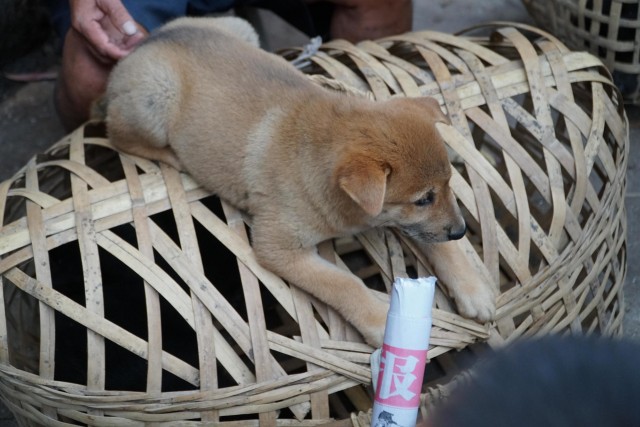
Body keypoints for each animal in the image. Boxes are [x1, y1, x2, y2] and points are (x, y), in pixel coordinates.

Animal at [104, 16, 496, 346]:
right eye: (422, 199)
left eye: (447, 185)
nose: (462, 230)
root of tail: (147, 42)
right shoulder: (278, 247)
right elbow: (344, 283)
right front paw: (377, 321)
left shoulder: (410, 223)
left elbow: (440, 246)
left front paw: (474, 289)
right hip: (154, 102)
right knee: (117, 133)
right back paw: (171, 156)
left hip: (241, 28)